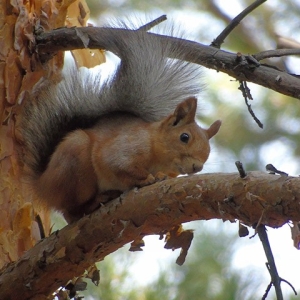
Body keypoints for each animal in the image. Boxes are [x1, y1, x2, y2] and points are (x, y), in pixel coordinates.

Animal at [20, 22, 220, 223]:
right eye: (184, 137)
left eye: (209, 151)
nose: (197, 167)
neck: (155, 148)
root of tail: (42, 184)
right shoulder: (128, 146)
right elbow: (119, 165)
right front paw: (147, 178)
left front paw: (160, 176)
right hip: (75, 164)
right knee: (70, 211)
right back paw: (95, 202)